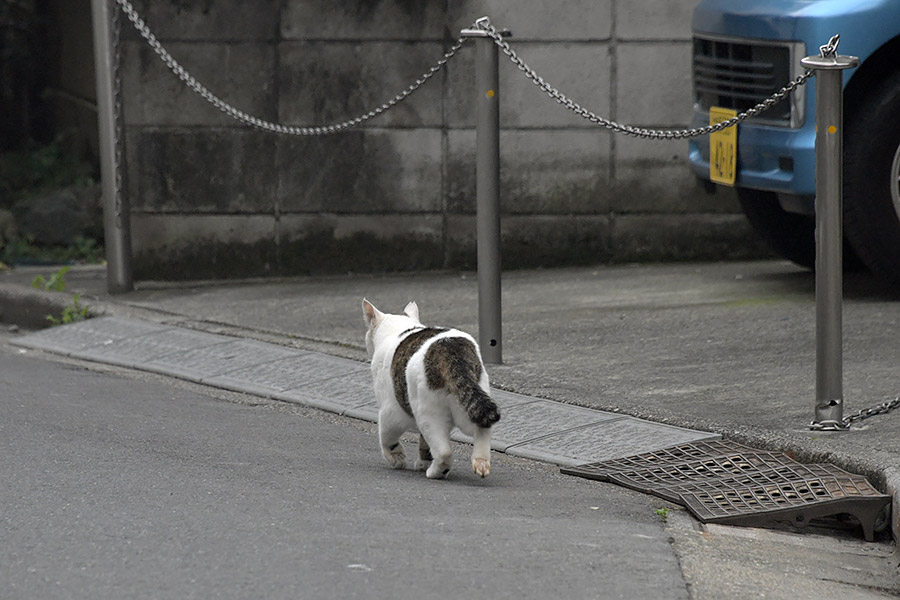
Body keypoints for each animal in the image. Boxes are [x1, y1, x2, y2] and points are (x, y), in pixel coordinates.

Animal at [360, 298, 500, 478]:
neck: (401, 329)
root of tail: (450, 350)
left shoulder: (389, 412)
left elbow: (387, 439)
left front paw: (397, 458)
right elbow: (424, 443)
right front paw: (423, 462)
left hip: (428, 413)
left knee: (444, 451)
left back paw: (436, 472)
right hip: (472, 402)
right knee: (481, 430)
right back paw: (480, 462)